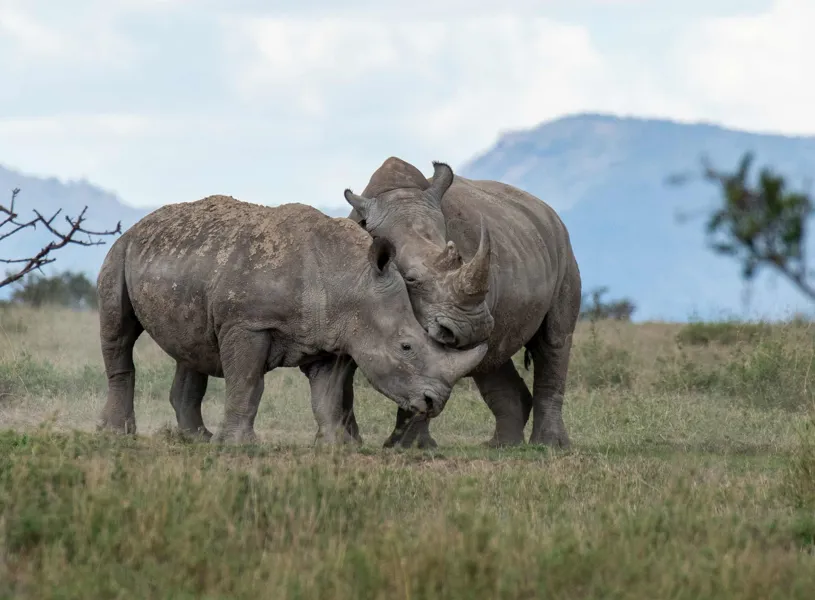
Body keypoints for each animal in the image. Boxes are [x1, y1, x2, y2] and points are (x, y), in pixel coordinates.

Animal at [95, 195, 488, 444]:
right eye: (406, 346)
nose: (434, 403)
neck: (351, 280)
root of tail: (140, 225)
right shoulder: (248, 323)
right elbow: (248, 383)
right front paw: (239, 446)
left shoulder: (329, 337)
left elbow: (327, 396)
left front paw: (335, 446)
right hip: (120, 251)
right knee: (120, 333)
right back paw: (117, 434)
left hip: (180, 261)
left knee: (192, 346)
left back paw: (197, 439)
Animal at [340, 157, 582, 448]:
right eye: (410, 279)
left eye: (460, 259)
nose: (473, 326)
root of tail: (548, 211)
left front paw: (409, 448)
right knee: (493, 357)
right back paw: (502, 446)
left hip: (563, 248)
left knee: (553, 339)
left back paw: (548, 446)